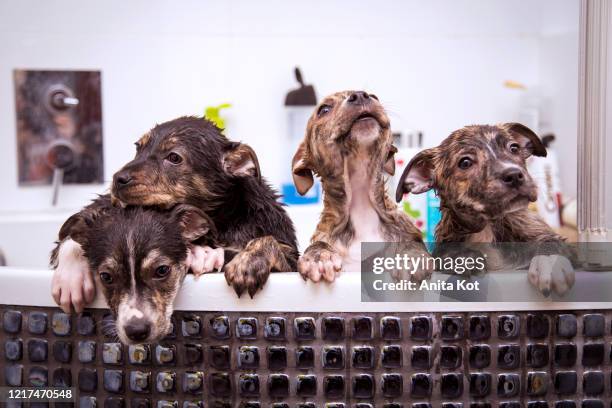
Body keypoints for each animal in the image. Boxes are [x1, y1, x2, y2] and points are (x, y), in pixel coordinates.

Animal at [53, 117, 298, 312]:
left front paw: (248, 261)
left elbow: (268, 241)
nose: (117, 179)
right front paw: (71, 277)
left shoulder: (289, 256)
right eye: (138, 148)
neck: (219, 220)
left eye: (174, 157)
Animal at [292, 89, 430, 280]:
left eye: (374, 96)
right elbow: (319, 244)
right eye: (324, 109)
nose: (359, 95)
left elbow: (411, 242)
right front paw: (319, 256)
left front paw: (410, 257)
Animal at [396, 122, 572, 296]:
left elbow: (550, 240)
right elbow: (442, 255)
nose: (514, 175)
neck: (488, 226)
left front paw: (549, 262)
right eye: (465, 163)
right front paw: (463, 257)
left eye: (514, 148)